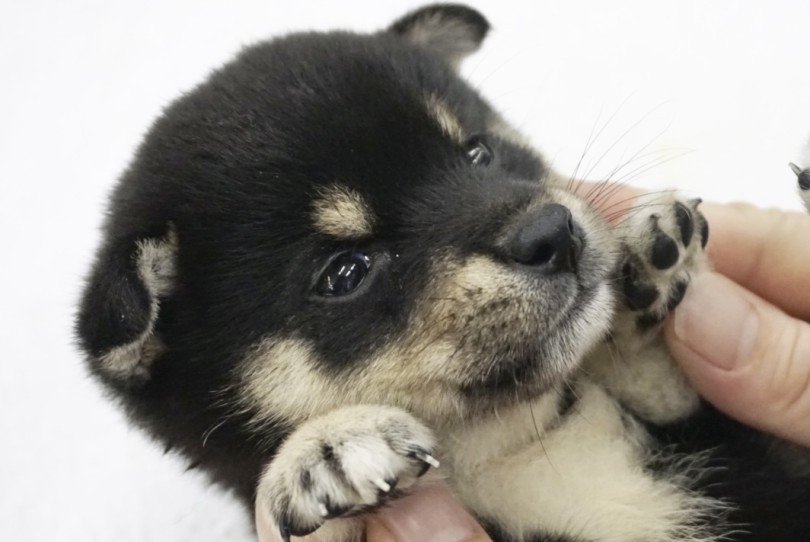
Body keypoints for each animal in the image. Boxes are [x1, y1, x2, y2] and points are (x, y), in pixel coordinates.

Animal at [76, 5, 808, 542]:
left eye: (479, 153)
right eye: (345, 272)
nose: (554, 233)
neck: (520, 445)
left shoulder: (746, 452)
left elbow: (665, 384)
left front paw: (643, 264)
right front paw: (322, 451)